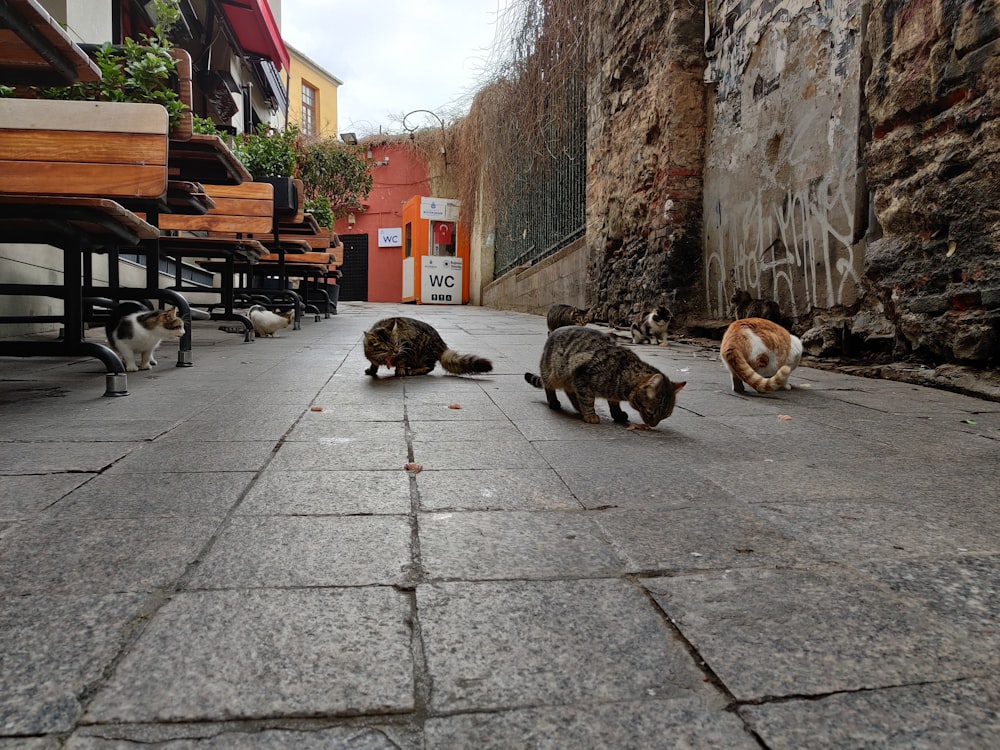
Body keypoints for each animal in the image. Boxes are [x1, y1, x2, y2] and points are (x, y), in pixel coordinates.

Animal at [366, 316, 494, 378]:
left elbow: (401, 361)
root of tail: (442, 344)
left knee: (429, 367)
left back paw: (412, 370)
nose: (396, 351)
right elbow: (373, 364)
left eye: (397, 343)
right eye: (388, 348)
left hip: (424, 352)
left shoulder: (406, 347)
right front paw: (372, 370)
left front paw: (400, 370)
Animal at [524, 326, 688, 426]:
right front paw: (590, 415)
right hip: (553, 373)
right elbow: (587, 399)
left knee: (570, 391)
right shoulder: (582, 377)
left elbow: (613, 402)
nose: (653, 425)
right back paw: (555, 402)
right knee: (549, 387)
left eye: (665, 416)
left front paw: (617, 414)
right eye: (650, 412)